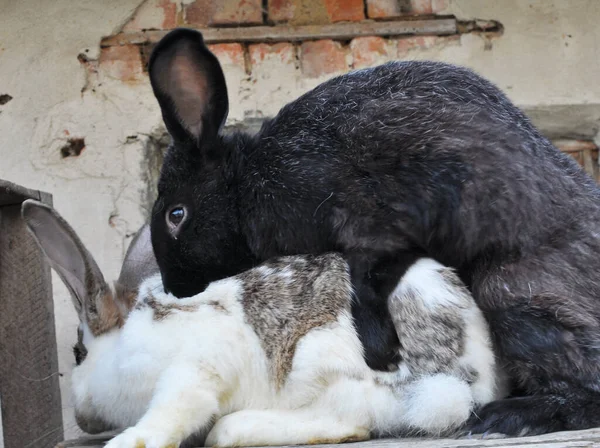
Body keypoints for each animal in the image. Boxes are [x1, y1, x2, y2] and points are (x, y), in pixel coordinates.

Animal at [21, 200, 504, 448]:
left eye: (78, 353)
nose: (81, 420)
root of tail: (481, 377)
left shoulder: (195, 370)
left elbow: (175, 409)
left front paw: (129, 441)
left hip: (322, 357)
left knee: (356, 420)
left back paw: (235, 429)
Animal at [148, 28, 600, 438]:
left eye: (176, 214)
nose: (175, 288)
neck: (246, 186)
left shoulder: (372, 226)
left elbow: (364, 286)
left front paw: (381, 355)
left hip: (515, 297)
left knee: (583, 387)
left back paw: (505, 417)